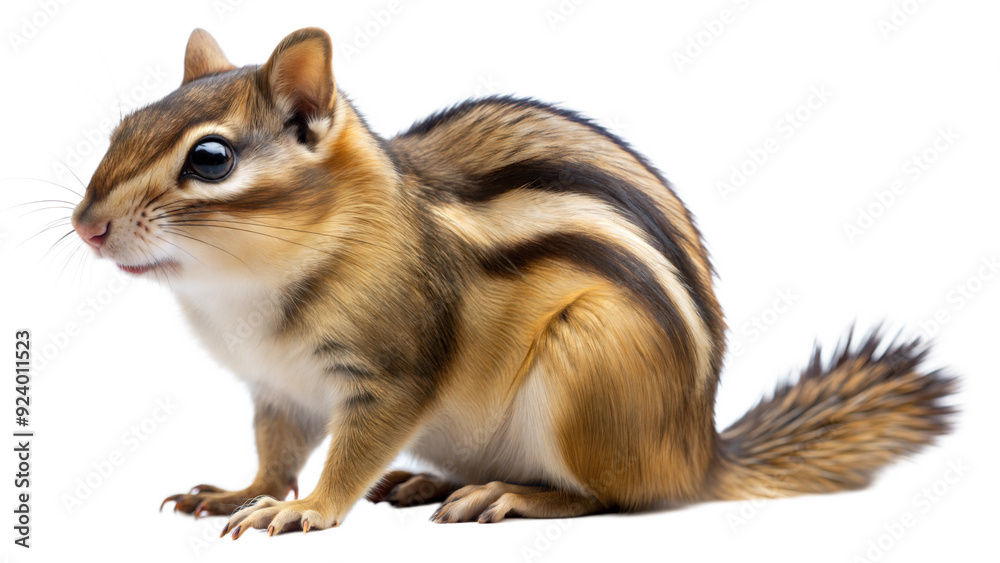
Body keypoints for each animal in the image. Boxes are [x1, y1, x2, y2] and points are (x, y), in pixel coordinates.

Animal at [70, 28, 957, 538]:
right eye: (124, 126)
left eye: (210, 159)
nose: (85, 225)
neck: (244, 288)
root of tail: (698, 452)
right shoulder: (277, 388)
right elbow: (275, 448)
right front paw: (238, 491)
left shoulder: (392, 371)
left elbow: (350, 452)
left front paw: (305, 508)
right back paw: (431, 479)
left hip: (591, 363)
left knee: (615, 495)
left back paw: (510, 497)